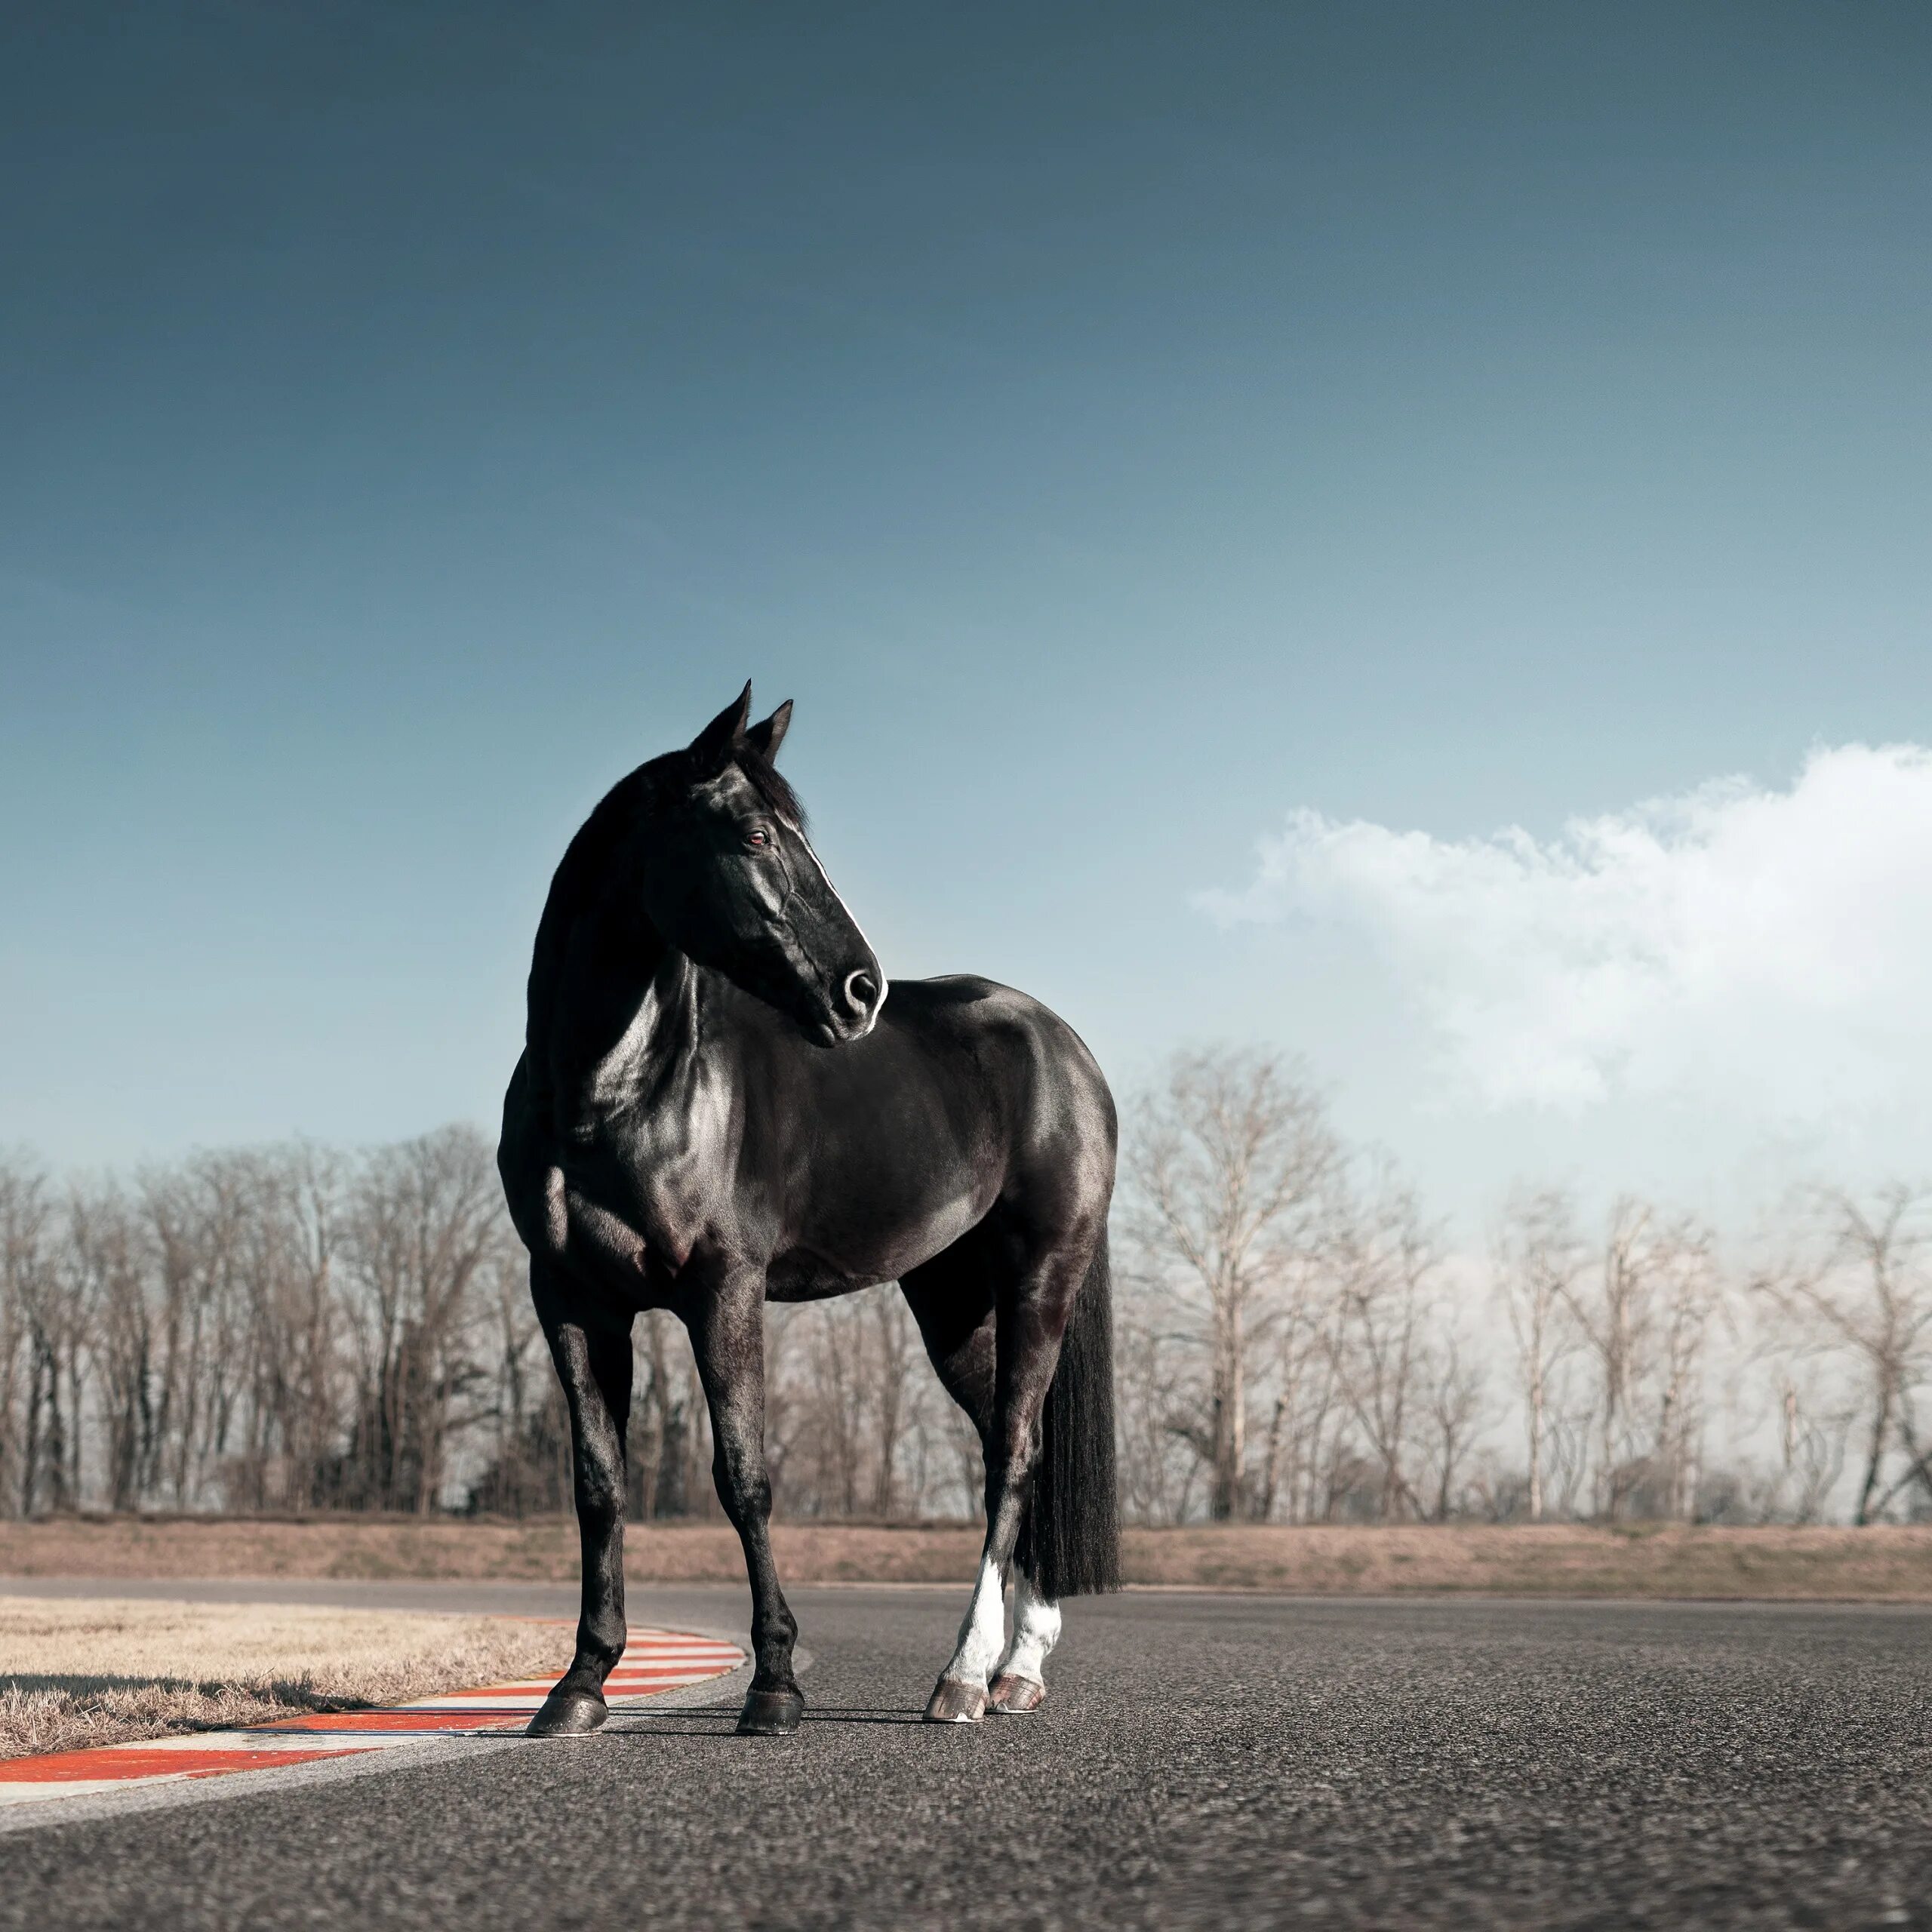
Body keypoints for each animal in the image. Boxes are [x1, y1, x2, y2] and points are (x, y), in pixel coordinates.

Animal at [498, 684, 1120, 1739]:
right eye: (753, 834)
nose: (860, 990)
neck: (613, 1091)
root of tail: (1064, 1045)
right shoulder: (573, 1300)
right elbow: (599, 1486)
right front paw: (578, 1686)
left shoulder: (723, 1288)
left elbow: (742, 1478)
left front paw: (775, 1684)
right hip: (951, 1300)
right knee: (1014, 1441)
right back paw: (1017, 1667)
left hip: (1042, 1275)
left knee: (1012, 1454)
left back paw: (962, 1676)